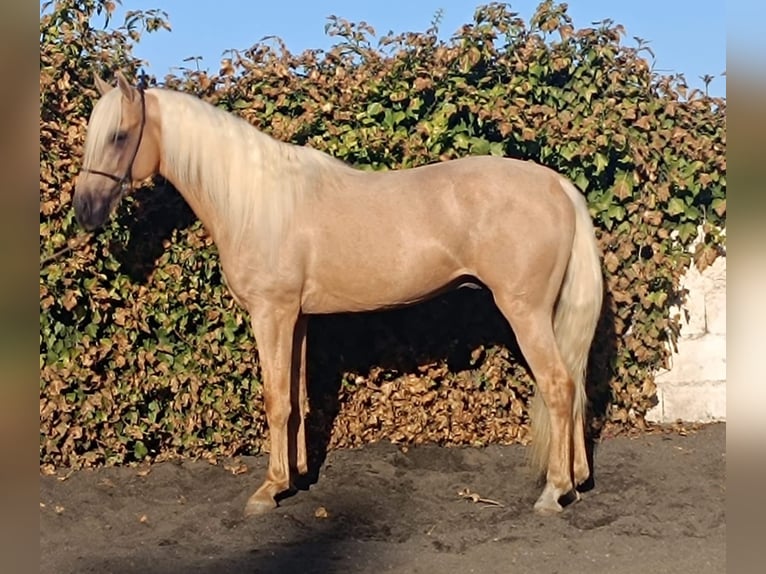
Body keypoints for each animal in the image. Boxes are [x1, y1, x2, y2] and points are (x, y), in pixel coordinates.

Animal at [73, 71, 608, 516]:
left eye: (118, 136)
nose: (85, 211)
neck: (259, 202)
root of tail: (558, 185)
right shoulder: (297, 318)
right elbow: (297, 397)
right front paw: (296, 476)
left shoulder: (271, 314)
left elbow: (276, 399)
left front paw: (269, 490)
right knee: (574, 383)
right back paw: (577, 479)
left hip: (525, 313)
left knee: (558, 386)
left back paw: (554, 492)